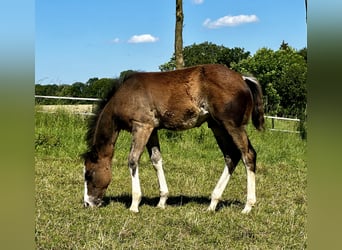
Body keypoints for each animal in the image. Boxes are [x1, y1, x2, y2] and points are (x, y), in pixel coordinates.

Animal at [83, 64, 264, 213]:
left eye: (89, 175)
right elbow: (156, 160)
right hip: (217, 126)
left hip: (232, 125)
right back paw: (212, 204)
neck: (125, 95)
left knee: (248, 155)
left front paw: (134, 204)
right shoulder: (152, 129)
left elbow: (133, 160)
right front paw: (162, 201)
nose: (87, 203)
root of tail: (242, 78)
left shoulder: (141, 127)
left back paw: (248, 206)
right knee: (231, 156)